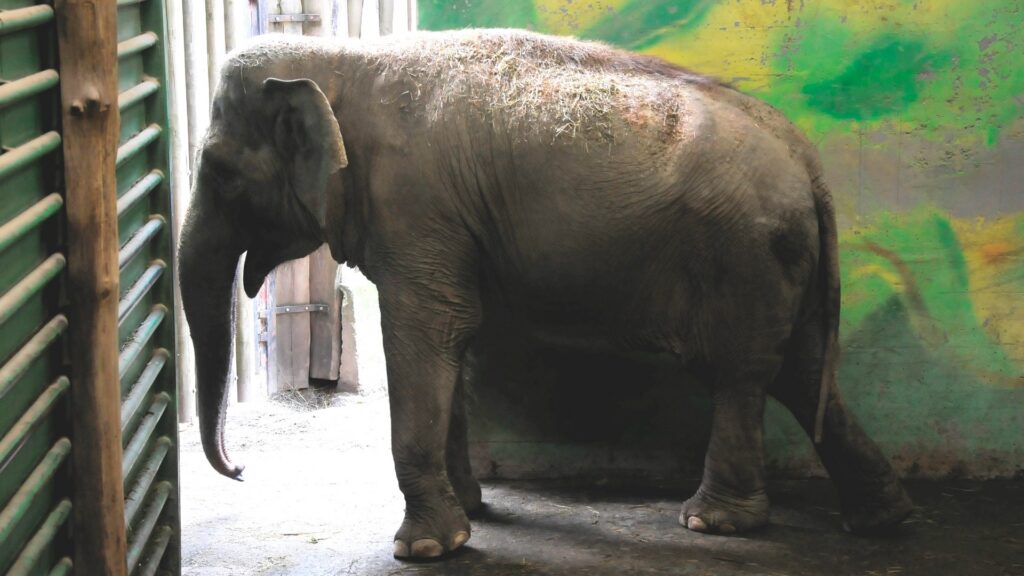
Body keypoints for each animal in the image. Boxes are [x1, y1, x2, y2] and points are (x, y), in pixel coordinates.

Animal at [177, 29, 913, 560]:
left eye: (219, 171)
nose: (242, 470)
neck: (340, 57)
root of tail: (810, 164)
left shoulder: (415, 206)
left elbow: (424, 332)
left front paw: (426, 550)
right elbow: (453, 338)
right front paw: (469, 516)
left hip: (745, 256)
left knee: (742, 373)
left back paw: (714, 524)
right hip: (782, 262)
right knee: (802, 370)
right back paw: (880, 518)